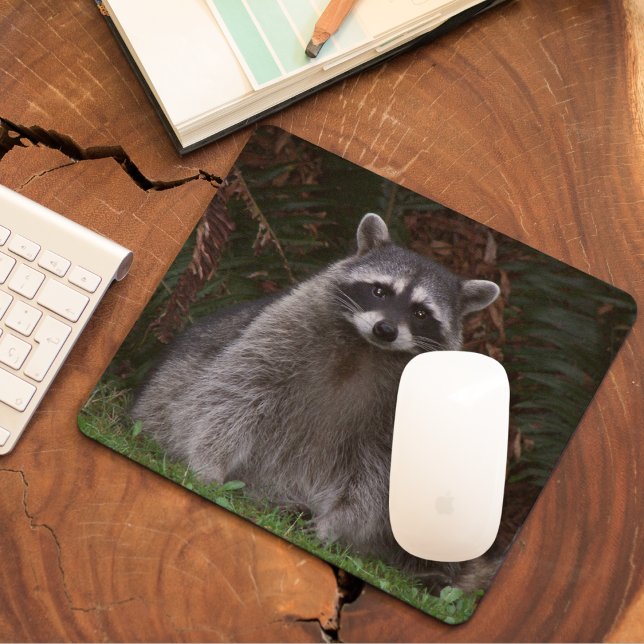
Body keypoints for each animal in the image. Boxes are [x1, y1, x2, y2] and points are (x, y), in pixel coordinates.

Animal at [132, 213, 501, 591]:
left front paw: (338, 522)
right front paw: (209, 461)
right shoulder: (290, 322)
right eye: (380, 291)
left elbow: (383, 468)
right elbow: (236, 391)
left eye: (421, 313)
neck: (367, 348)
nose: (385, 329)